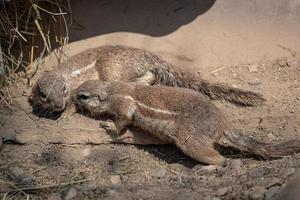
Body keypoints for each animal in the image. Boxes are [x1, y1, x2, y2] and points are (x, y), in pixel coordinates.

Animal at [29, 44, 264, 115]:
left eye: (64, 90)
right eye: (44, 95)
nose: (58, 105)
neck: (64, 75)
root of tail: (148, 55)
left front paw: (67, 112)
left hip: (110, 68)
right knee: (150, 76)